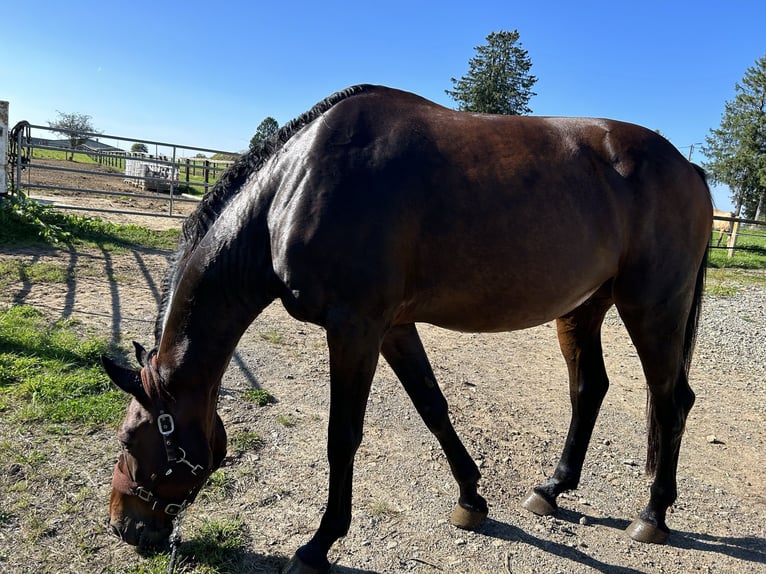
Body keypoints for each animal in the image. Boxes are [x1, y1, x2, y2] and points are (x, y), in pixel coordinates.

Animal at [102, 85, 712, 574]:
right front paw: (471, 499)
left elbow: (343, 436)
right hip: (584, 307)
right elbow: (433, 407)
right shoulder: (394, 328)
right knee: (589, 388)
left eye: (131, 439)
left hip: (652, 306)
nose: (123, 526)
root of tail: (689, 169)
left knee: (671, 398)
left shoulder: (354, 329)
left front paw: (318, 545)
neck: (296, 186)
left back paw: (653, 513)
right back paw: (552, 489)